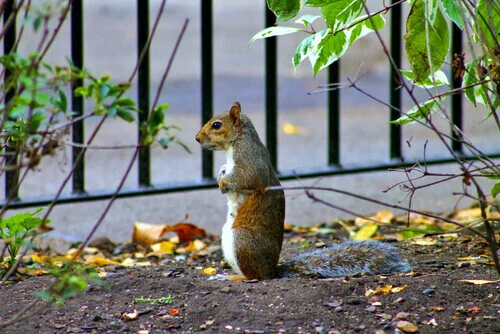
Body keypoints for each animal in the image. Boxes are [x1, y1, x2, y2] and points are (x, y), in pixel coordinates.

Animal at [195, 102, 410, 280]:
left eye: (216, 125)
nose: (197, 139)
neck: (237, 142)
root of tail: (272, 271)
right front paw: (220, 176)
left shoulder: (250, 162)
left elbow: (245, 179)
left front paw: (223, 182)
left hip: (242, 239)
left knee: (254, 276)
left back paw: (234, 278)